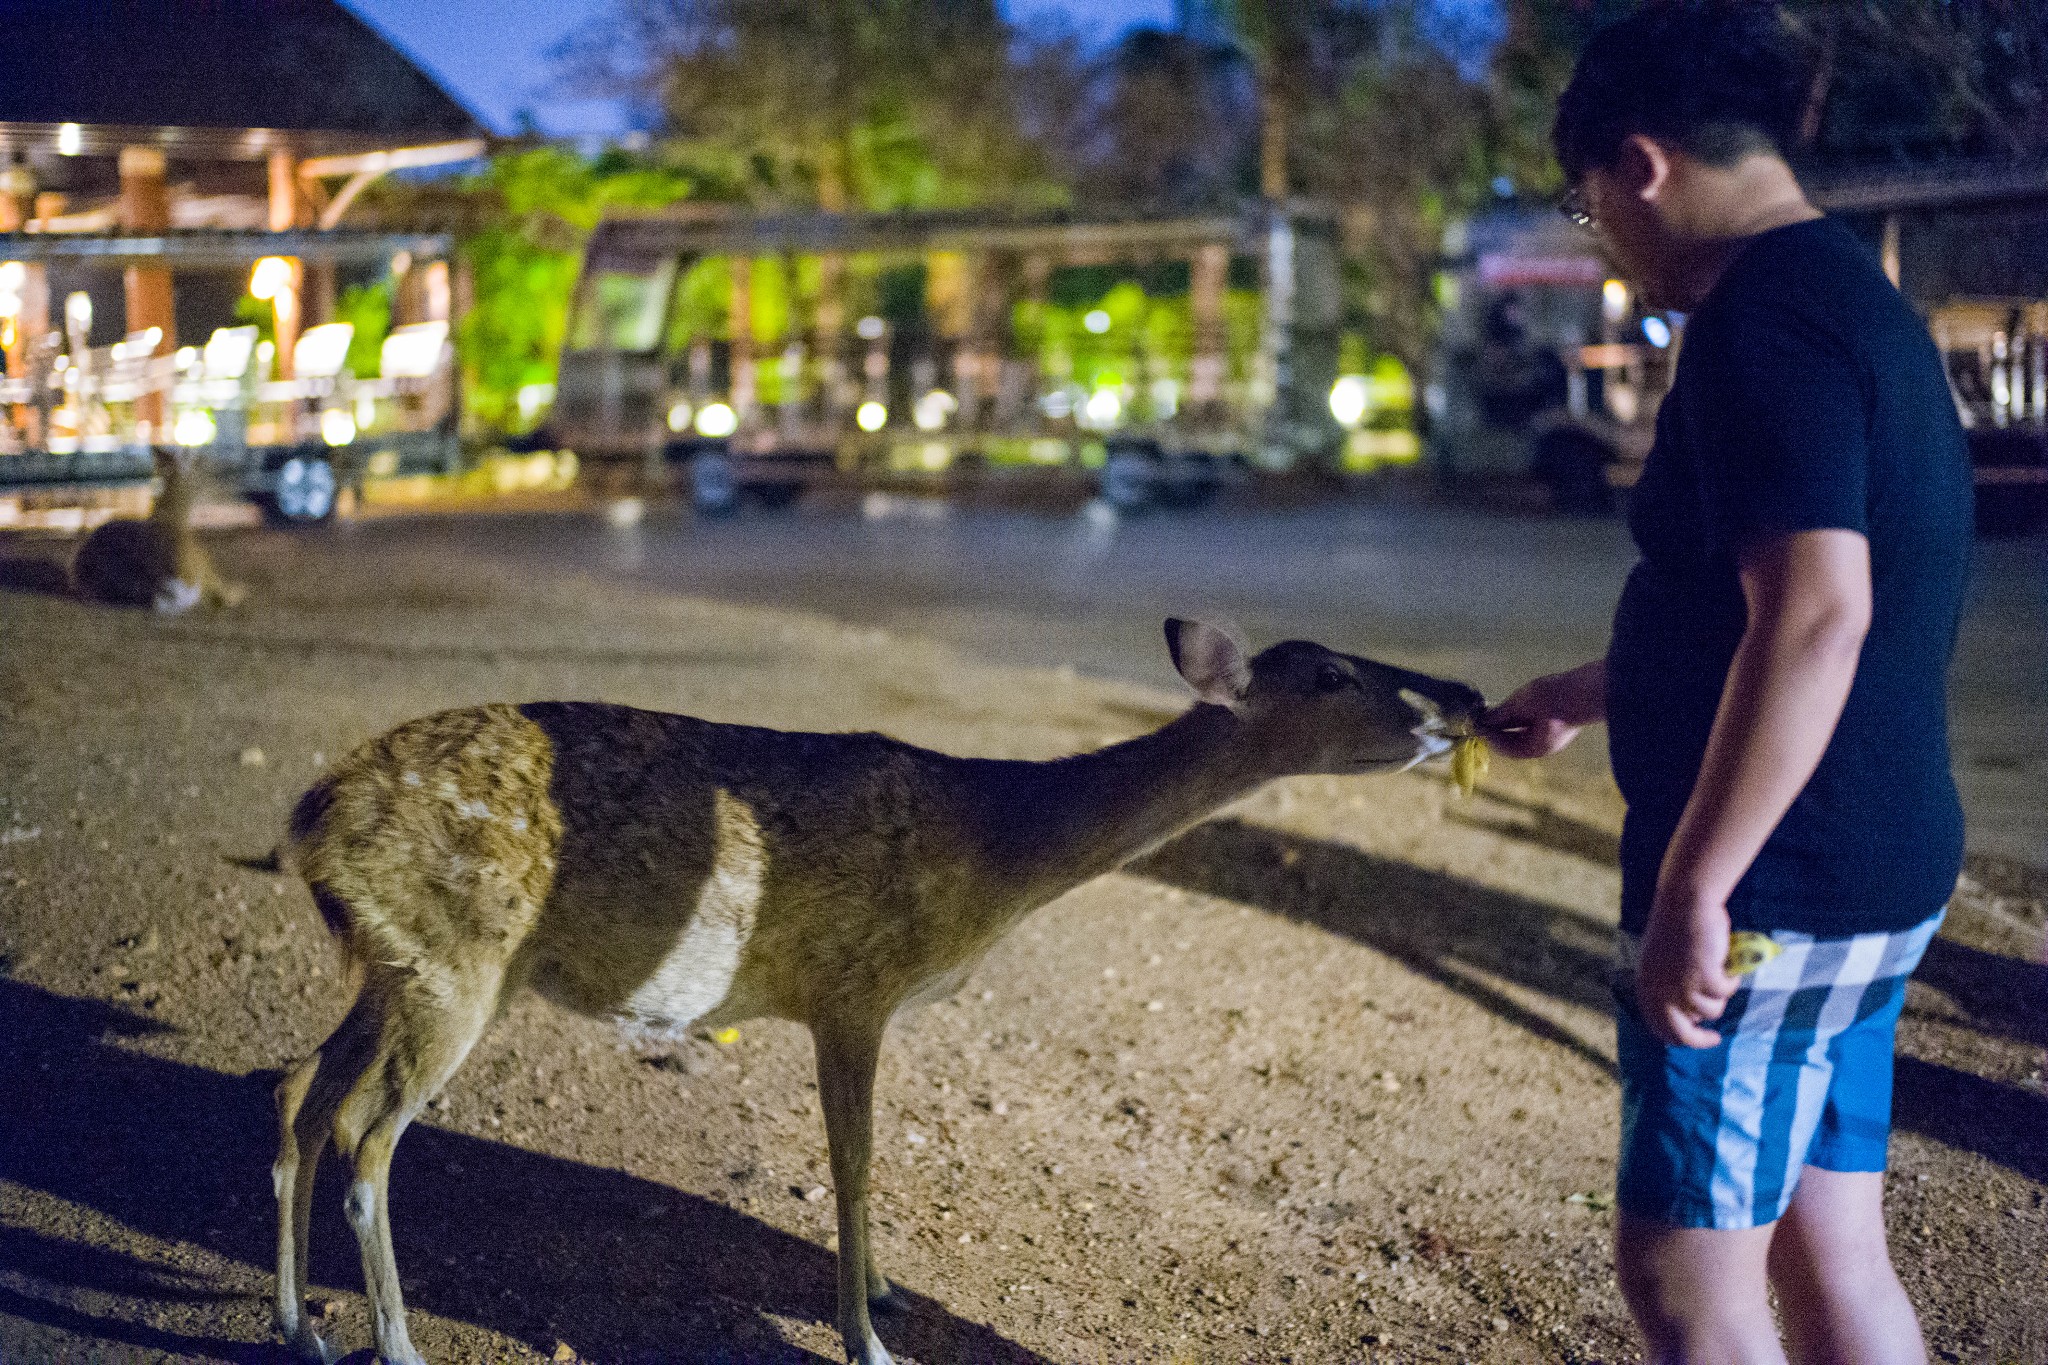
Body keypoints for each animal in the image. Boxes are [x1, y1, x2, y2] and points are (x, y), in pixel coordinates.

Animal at [264, 622, 1482, 1365]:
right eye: (1330, 676)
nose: (1465, 695)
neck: (995, 855)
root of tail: (307, 822)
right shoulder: (853, 986)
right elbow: (853, 1164)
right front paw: (871, 1334)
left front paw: (887, 1294)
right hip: (458, 961)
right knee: (367, 1135)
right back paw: (396, 1341)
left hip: (401, 960)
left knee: (299, 1091)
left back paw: (298, 1324)